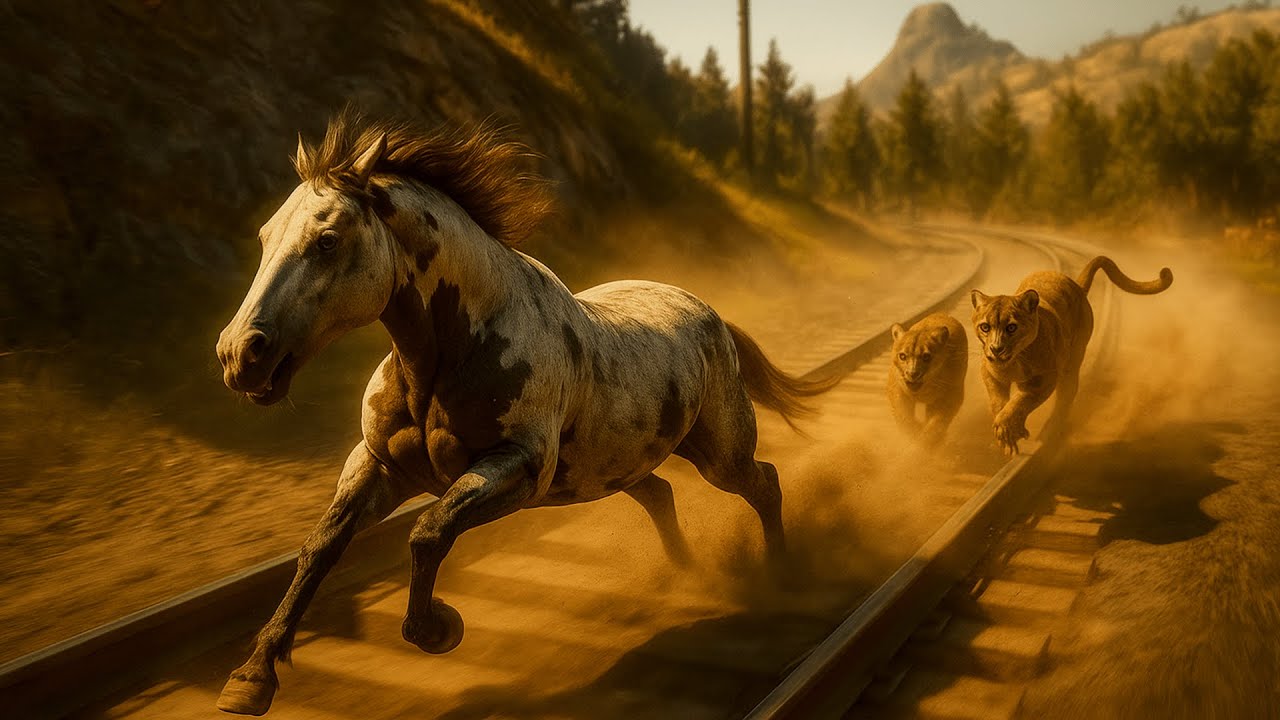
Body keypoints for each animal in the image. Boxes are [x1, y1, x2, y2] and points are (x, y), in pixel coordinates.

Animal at [213, 112, 831, 715]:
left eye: (327, 240)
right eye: (266, 235)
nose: (239, 354)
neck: (450, 355)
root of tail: (711, 314)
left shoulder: (517, 468)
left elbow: (427, 533)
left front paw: (440, 629)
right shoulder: (377, 465)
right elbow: (319, 547)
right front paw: (250, 679)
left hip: (718, 454)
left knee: (763, 483)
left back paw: (780, 574)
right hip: (613, 468)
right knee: (660, 492)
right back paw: (684, 574)